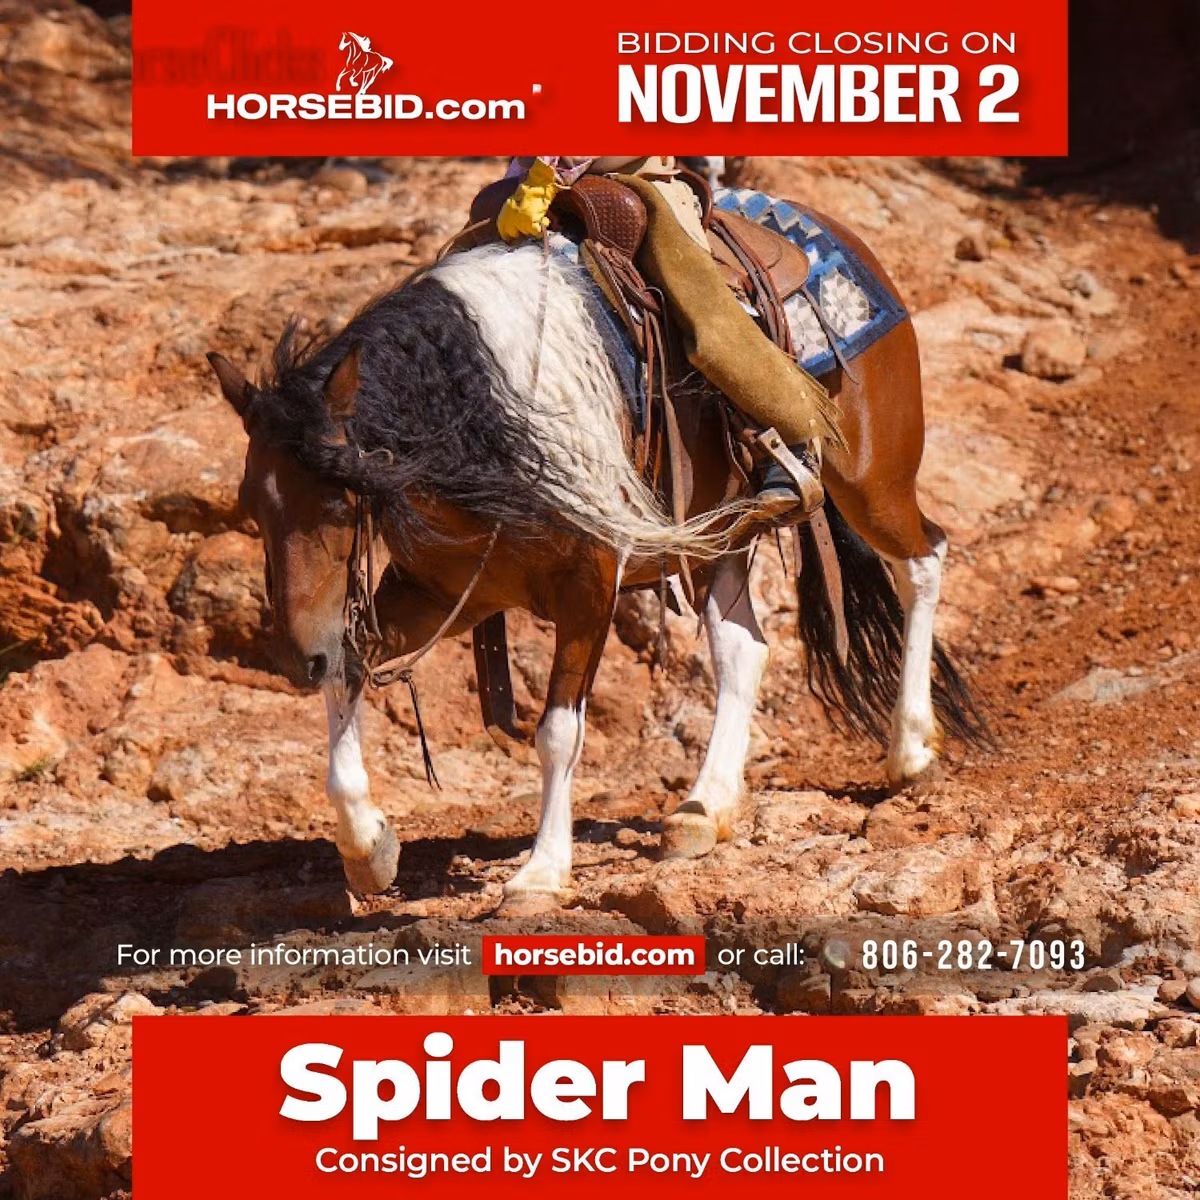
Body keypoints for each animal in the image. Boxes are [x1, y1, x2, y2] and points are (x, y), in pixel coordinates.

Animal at [206, 207, 987, 911]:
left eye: (342, 503)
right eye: (254, 508)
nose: (298, 658)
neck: (487, 420)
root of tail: (842, 239)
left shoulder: (590, 584)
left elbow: (557, 731)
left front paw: (540, 873)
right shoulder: (440, 590)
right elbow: (352, 671)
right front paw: (367, 846)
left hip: (872, 483)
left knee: (923, 562)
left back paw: (911, 748)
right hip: (721, 536)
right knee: (743, 646)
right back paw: (703, 808)